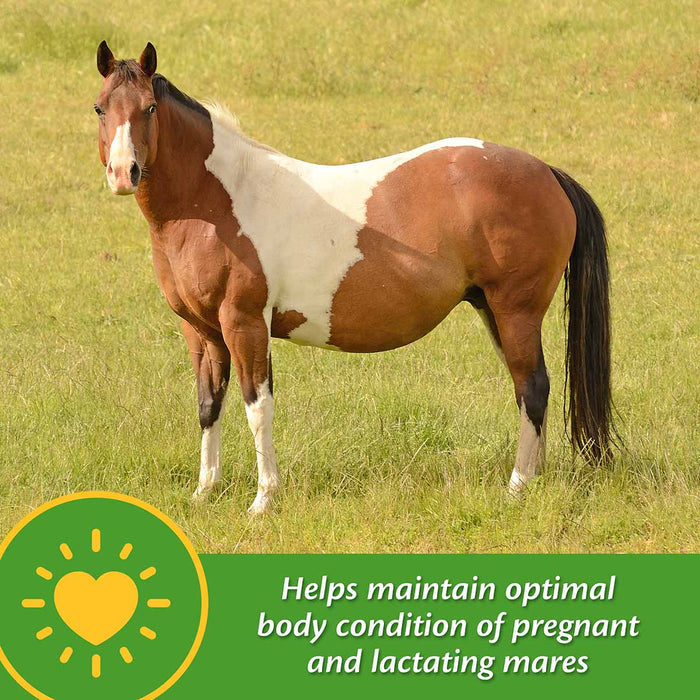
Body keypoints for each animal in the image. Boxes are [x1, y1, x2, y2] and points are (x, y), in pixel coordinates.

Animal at [94, 42, 615, 514]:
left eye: (150, 107)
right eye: (101, 108)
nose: (123, 173)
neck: (219, 199)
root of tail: (546, 172)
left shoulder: (245, 324)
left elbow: (257, 406)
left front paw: (263, 499)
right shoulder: (201, 331)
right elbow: (209, 405)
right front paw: (205, 492)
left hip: (515, 311)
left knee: (534, 387)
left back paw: (517, 486)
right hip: (493, 310)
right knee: (527, 390)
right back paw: (534, 480)